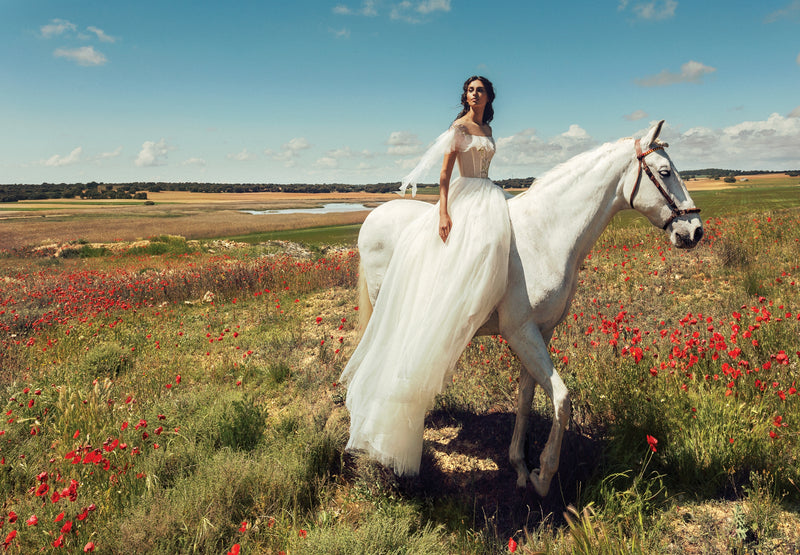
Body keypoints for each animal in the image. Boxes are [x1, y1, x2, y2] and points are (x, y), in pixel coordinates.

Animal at [354, 120, 700, 496]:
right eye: (664, 172)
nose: (695, 230)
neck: (545, 235)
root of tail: (373, 218)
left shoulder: (541, 332)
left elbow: (526, 398)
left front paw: (520, 466)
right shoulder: (520, 332)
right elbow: (562, 400)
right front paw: (543, 475)